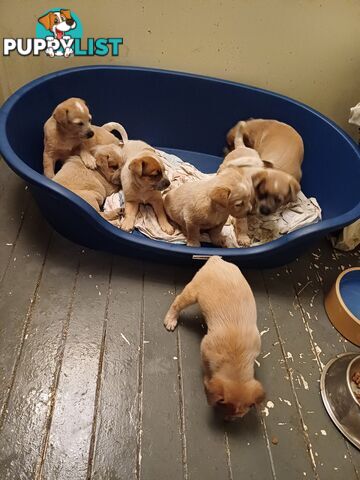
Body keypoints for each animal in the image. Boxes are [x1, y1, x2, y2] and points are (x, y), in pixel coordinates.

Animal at [164, 255, 264, 420]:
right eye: (221, 405)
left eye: (238, 417)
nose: (227, 421)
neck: (237, 359)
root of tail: (216, 259)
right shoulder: (205, 350)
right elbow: (207, 370)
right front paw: (207, 378)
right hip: (191, 293)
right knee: (177, 302)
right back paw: (171, 319)